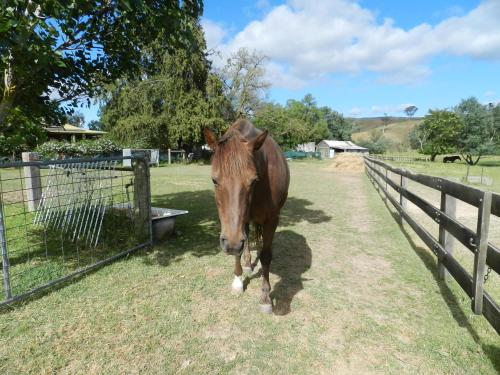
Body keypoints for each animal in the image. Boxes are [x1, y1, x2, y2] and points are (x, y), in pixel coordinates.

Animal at [203, 120, 290, 314]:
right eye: (214, 180)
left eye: (253, 181)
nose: (231, 244)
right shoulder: (236, 228)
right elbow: (240, 249)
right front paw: (238, 281)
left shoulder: (272, 220)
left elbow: (265, 255)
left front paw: (265, 298)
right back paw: (248, 264)